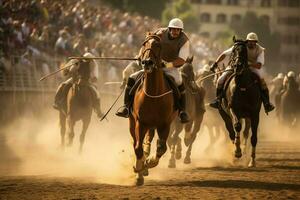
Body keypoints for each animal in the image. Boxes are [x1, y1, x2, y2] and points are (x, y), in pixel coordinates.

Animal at [129, 34, 178, 186]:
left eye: (158, 45)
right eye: (144, 44)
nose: (147, 62)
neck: (153, 94)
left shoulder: (165, 124)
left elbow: (161, 147)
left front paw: (149, 162)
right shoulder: (141, 123)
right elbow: (137, 147)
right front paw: (139, 171)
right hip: (133, 123)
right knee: (136, 142)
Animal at [217, 37, 262, 167]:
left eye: (244, 51)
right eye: (233, 51)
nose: (237, 65)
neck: (243, 87)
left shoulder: (254, 113)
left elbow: (253, 136)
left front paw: (252, 161)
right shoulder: (233, 109)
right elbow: (236, 126)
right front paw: (237, 152)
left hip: (246, 116)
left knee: (245, 131)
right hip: (224, 113)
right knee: (231, 130)